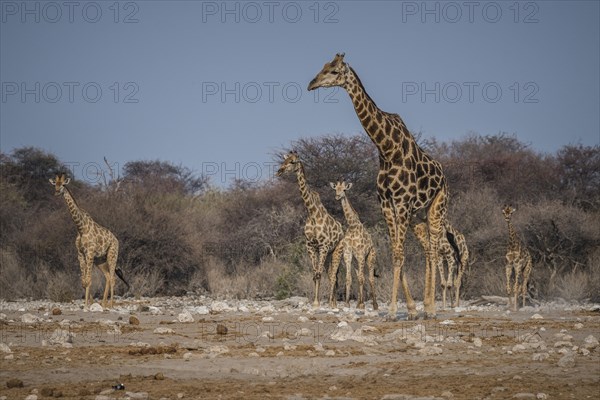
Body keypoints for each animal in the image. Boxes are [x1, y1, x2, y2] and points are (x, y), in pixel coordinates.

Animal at [49, 173, 129, 308]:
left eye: (63, 185)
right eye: (55, 184)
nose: (56, 192)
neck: (81, 228)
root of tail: (116, 240)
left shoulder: (90, 253)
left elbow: (89, 280)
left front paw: (87, 305)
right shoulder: (81, 254)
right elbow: (84, 281)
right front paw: (88, 303)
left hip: (112, 254)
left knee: (113, 279)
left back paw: (110, 304)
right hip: (100, 260)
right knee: (108, 277)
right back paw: (103, 303)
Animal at [276, 152, 342, 308]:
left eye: (293, 162)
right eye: (285, 160)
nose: (279, 171)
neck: (312, 213)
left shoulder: (323, 245)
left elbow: (318, 274)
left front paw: (318, 302)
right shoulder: (311, 246)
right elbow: (315, 273)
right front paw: (315, 301)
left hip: (336, 250)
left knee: (334, 275)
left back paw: (332, 303)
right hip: (328, 253)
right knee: (331, 274)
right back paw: (333, 302)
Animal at [330, 180, 378, 310]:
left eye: (344, 190)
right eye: (335, 189)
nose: (337, 196)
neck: (352, 226)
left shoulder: (361, 253)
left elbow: (362, 278)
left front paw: (362, 304)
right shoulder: (348, 253)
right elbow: (349, 278)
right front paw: (347, 303)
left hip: (370, 257)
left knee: (370, 278)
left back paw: (374, 305)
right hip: (356, 261)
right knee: (359, 276)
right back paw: (358, 303)